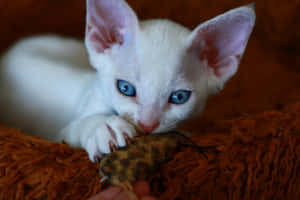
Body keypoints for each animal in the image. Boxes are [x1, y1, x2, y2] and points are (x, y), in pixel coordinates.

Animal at [0, 0, 255, 162]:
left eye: (179, 97)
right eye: (125, 88)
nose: (147, 125)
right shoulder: (58, 135)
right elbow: (75, 129)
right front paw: (103, 127)